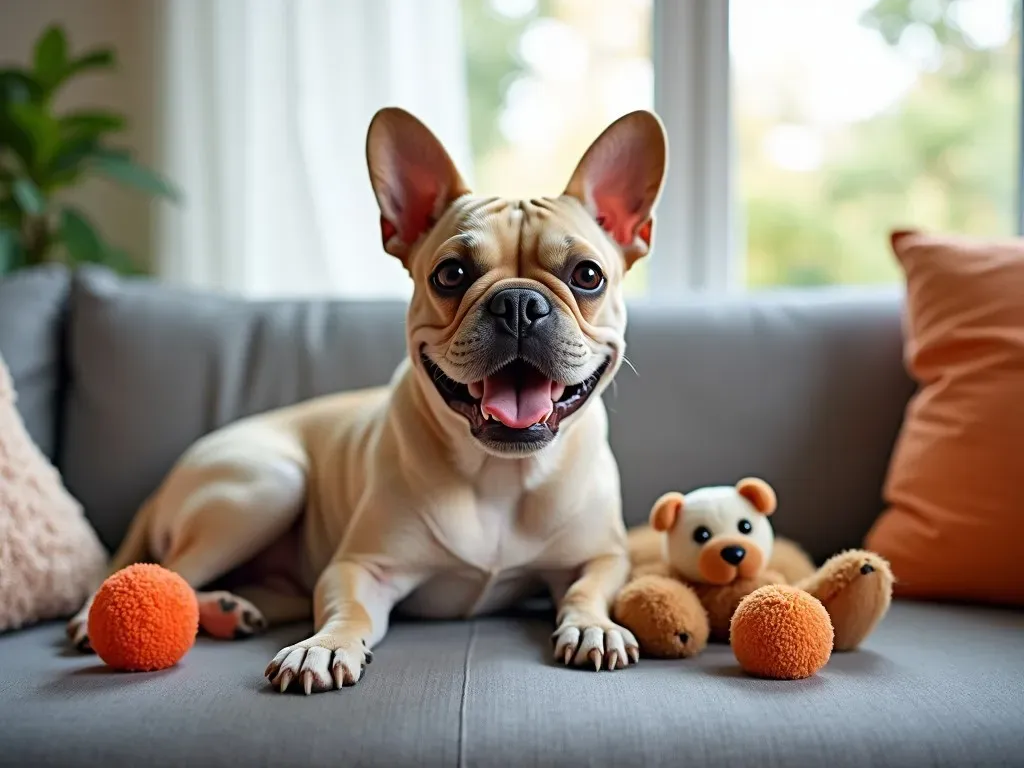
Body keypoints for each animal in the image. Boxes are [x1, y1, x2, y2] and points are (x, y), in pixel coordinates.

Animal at [66, 105, 671, 696]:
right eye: (451, 274)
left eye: (587, 275)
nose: (519, 303)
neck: (499, 472)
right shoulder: (361, 568)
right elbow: (348, 611)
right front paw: (324, 646)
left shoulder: (602, 557)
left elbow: (588, 589)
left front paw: (593, 626)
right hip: (267, 486)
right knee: (170, 571)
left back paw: (229, 610)